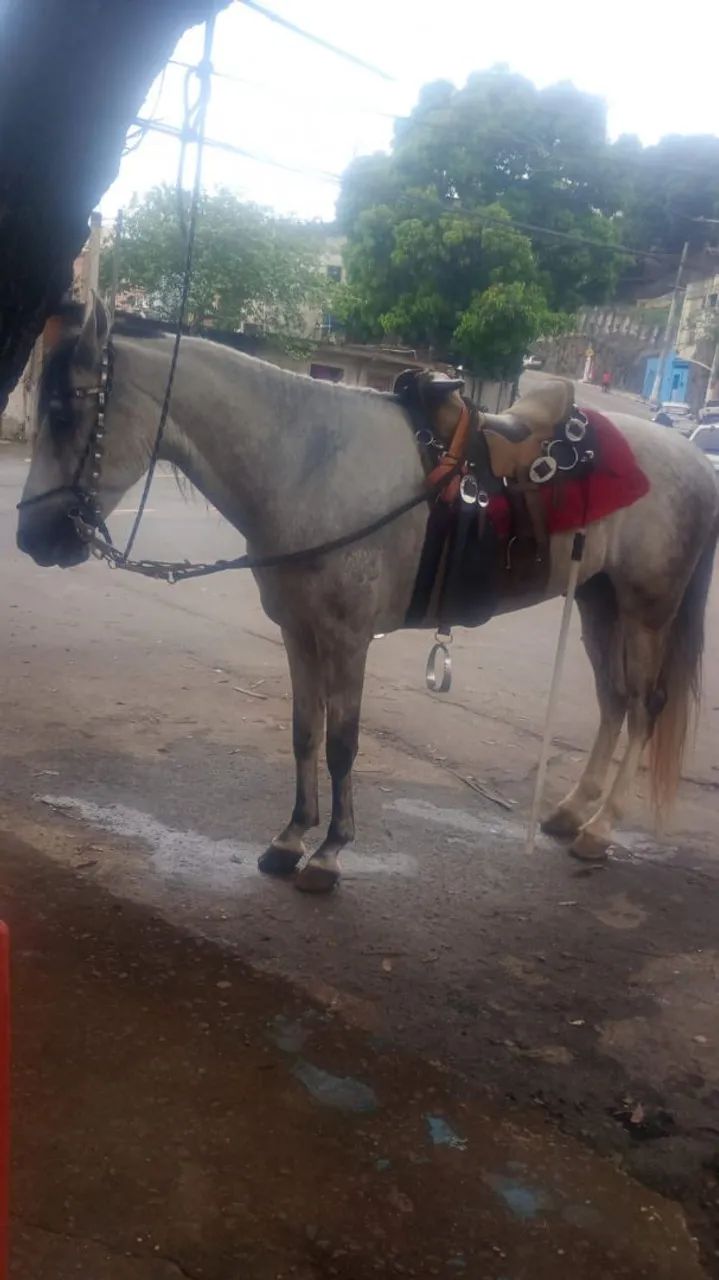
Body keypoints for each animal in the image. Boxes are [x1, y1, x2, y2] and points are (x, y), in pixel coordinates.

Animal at [16, 298, 719, 892]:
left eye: (64, 413)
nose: (31, 537)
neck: (309, 465)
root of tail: (692, 461)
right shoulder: (298, 632)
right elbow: (304, 732)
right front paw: (291, 838)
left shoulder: (348, 639)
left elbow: (342, 743)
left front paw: (329, 854)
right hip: (600, 603)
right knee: (615, 701)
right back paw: (573, 811)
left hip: (646, 613)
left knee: (646, 707)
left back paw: (600, 829)